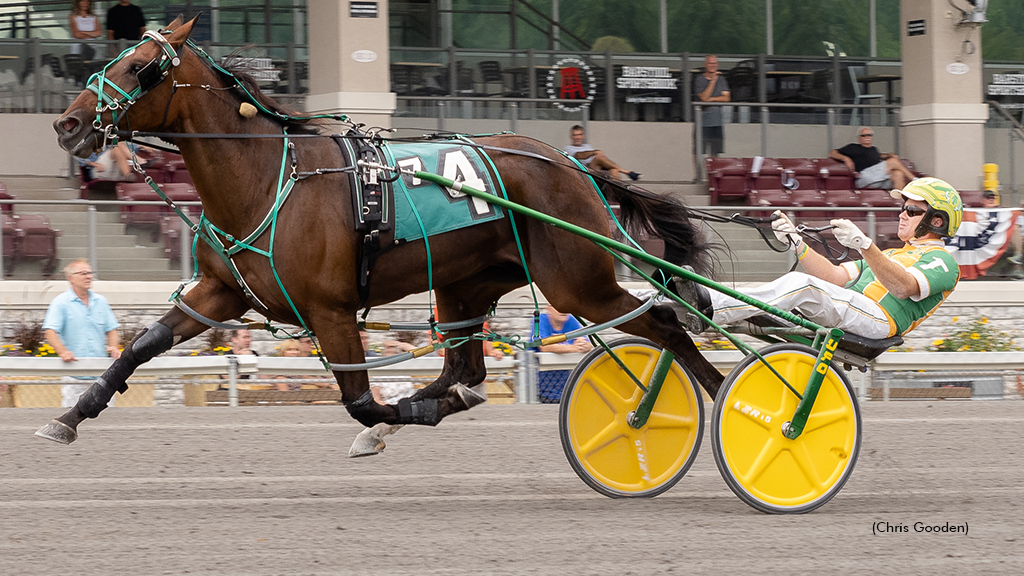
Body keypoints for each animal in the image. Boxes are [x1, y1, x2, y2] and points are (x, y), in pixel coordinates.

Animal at [39, 17, 724, 446]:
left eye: (140, 66)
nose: (68, 124)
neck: (267, 179)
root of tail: (575, 162)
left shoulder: (332, 310)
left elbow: (361, 400)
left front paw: (393, 417)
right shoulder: (222, 291)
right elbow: (142, 344)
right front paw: (70, 415)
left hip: (576, 280)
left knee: (664, 322)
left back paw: (730, 401)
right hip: (466, 286)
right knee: (466, 368)